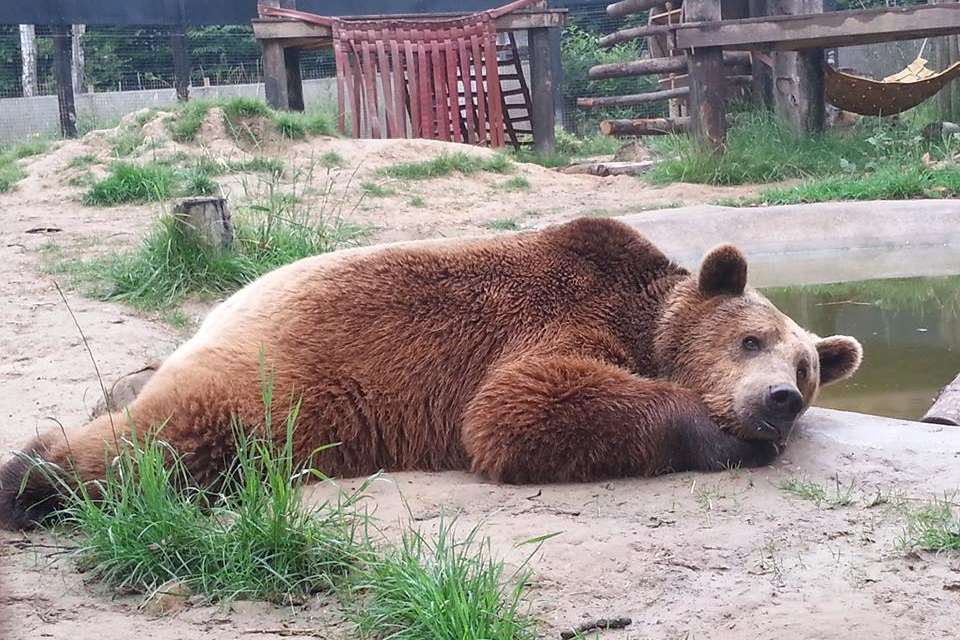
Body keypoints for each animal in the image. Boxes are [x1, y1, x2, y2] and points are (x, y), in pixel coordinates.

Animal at [0, 218, 864, 528]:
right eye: (751, 340)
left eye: (807, 371)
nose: (778, 402)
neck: (644, 319)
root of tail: (217, 311)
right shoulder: (554, 316)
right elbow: (519, 405)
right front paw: (728, 439)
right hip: (277, 377)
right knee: (173, 440)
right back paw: (32, 476)